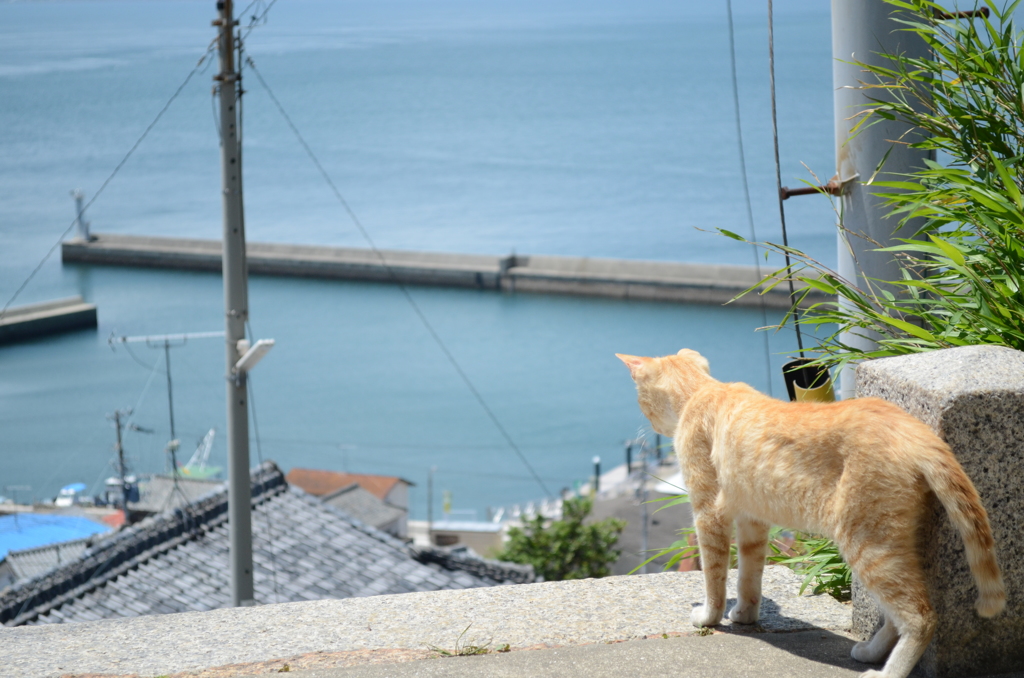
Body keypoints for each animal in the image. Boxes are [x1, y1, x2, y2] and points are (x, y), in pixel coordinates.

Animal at [618, 350, 1003, 678]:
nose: (647, 425)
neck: (701, 392)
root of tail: (918, 432)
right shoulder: (753, 520)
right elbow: (749, 576)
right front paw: (745, 614)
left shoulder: (709, 515)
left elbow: (716, 576)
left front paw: (710, 617)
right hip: (891, 545)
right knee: (898, 613)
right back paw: (872, 652)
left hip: (867, 544)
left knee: (921, 617)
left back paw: (887, 673)